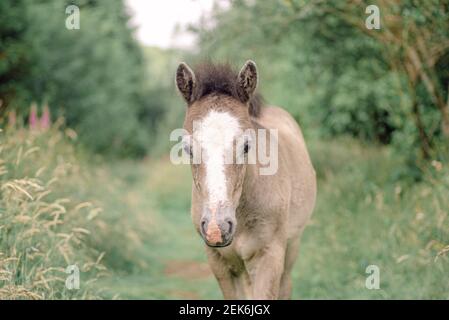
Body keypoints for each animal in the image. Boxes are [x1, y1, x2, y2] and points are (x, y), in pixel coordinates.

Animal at [174, 60, 316, 300]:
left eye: (247, 146)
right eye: (187, 149)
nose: (217, 228)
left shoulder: (270, 257)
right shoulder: (218, 261)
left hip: (291, 246)